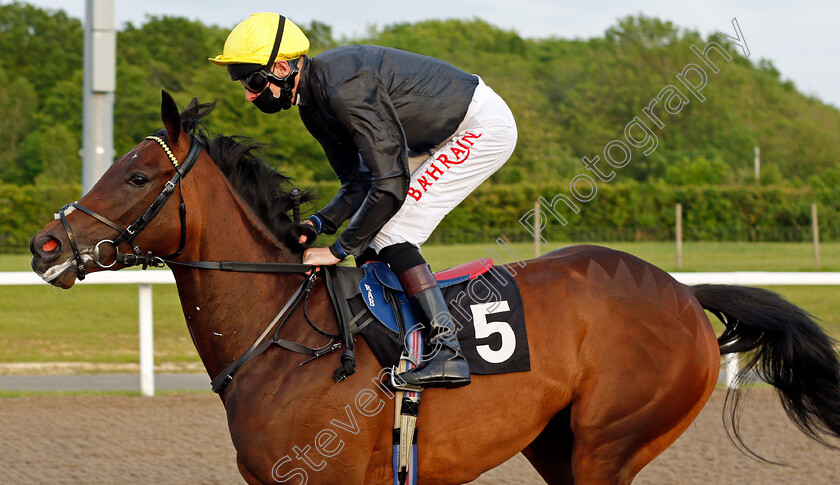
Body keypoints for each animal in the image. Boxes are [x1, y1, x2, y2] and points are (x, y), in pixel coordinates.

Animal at [29, 91, 836, 484]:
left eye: (138, 175)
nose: (45, 244)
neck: (286, 338)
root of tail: (681, 290)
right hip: (559, 444)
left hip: (612, 442)